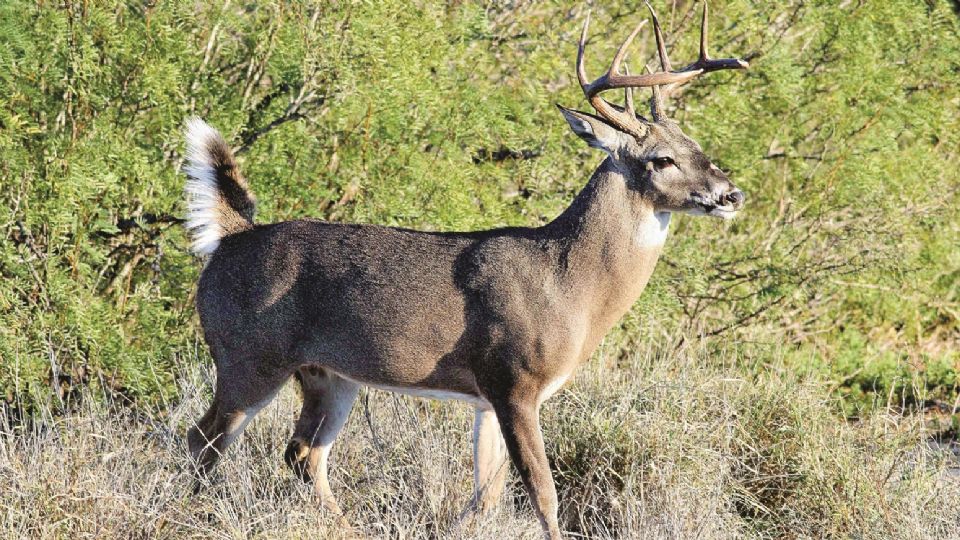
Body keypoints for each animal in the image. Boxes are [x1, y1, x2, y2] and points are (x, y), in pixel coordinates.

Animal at [182, 3, 752, 536]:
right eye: (661, 159)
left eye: (698, 146)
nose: (731, 194)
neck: (568, 284)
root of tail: (230, 237)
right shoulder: (514, 380)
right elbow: (542, 493)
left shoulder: (486, 398)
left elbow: (487, 495)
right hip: (248, 354)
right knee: (204, 437)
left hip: (330, 373)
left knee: (303, 453)